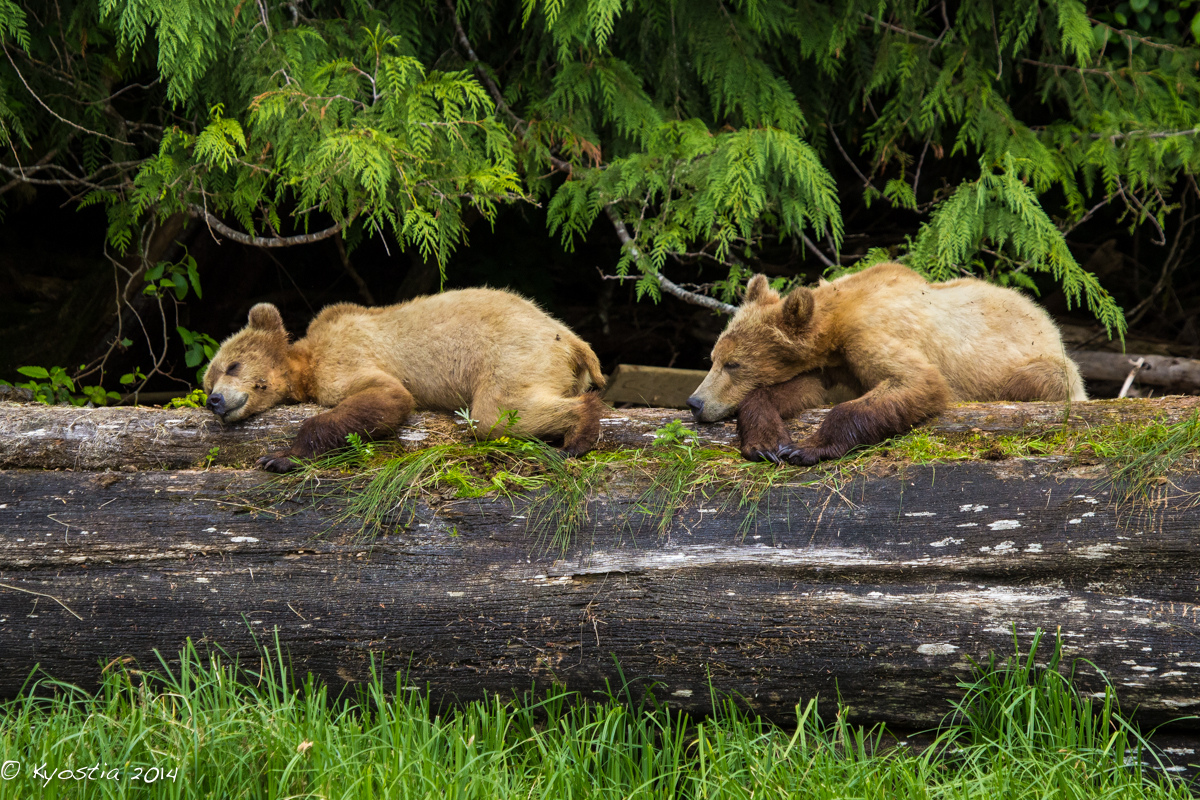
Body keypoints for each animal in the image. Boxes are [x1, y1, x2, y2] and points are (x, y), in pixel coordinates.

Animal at [202, 291, 609, 472]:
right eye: (208, 382)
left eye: (233, 365)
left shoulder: (346, 358)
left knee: (498, 413)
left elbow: (387, 396)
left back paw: (576, 438)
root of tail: (571, 339)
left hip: (514, 354)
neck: (305, 367)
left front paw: (279, 457)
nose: (215, 401)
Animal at [686, 262, 1089, 465]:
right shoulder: (834, 366)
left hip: (1047, 366)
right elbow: (799, 390)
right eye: (714, 358)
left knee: (1035, 379)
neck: (834, 326)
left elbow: (916, 381)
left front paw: (805, 448)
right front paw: (768, 443)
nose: (695, 402)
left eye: (734, 364)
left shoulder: (869, 336)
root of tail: (1047, 320)